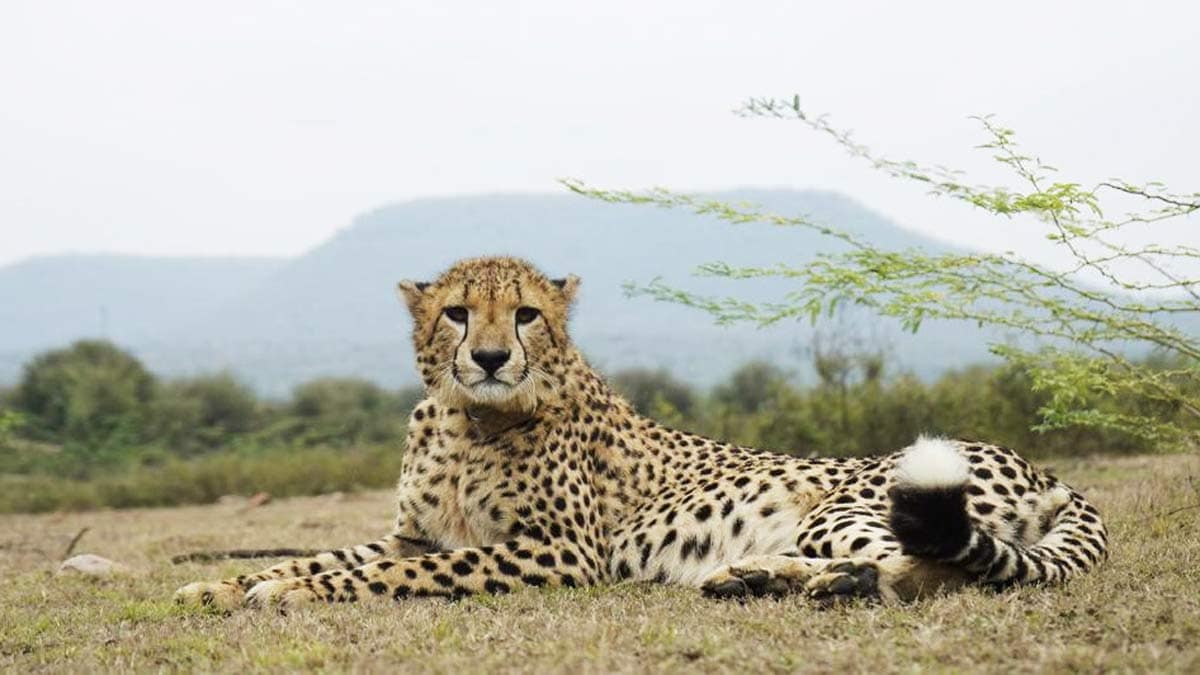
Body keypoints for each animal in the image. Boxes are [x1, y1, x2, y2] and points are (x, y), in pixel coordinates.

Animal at [174, 256, 1108, 610]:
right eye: (456, 312)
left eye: (525, 314)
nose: (488, 356)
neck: (466, 418)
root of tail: (1042, 465)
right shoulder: (410, 532)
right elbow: (331, 552)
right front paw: (226, 582)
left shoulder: (560, 552)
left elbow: (406, 571)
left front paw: (289, 593)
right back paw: (754, 576)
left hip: (853, 499)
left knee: (932, 569)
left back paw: (820, 581)